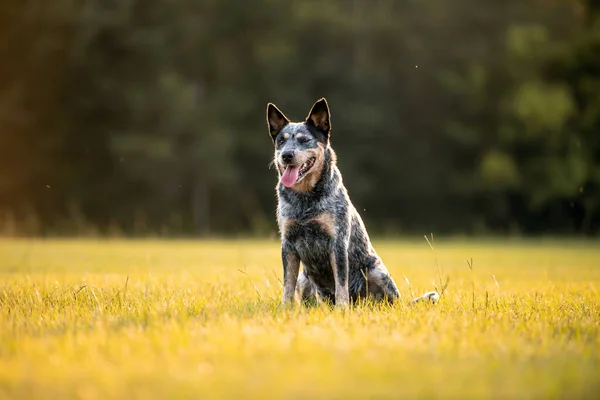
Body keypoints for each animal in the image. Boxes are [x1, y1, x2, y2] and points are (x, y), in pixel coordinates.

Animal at [268, 97, 404, 306]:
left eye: (304, 140)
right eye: (281, 141)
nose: (286, 155)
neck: (305, 200)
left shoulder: (337, 243)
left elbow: (341, 283)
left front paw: (342, 308)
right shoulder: (288, 245)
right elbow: (287, 285)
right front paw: (286, 309)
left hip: (376, 272)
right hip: (304, 278)